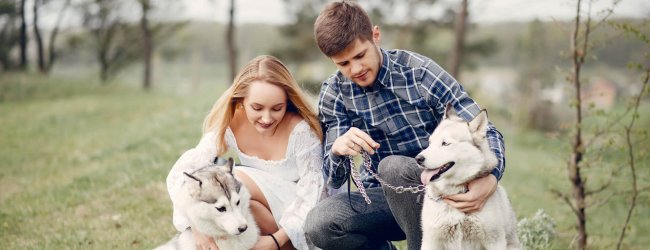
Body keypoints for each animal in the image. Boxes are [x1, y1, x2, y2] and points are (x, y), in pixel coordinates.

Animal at [416, 104, 520, 249]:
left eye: (445, 143)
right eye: (430, 142)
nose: (418, 158)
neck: (455, 191)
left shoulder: (494, 241)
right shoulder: (431, 241)